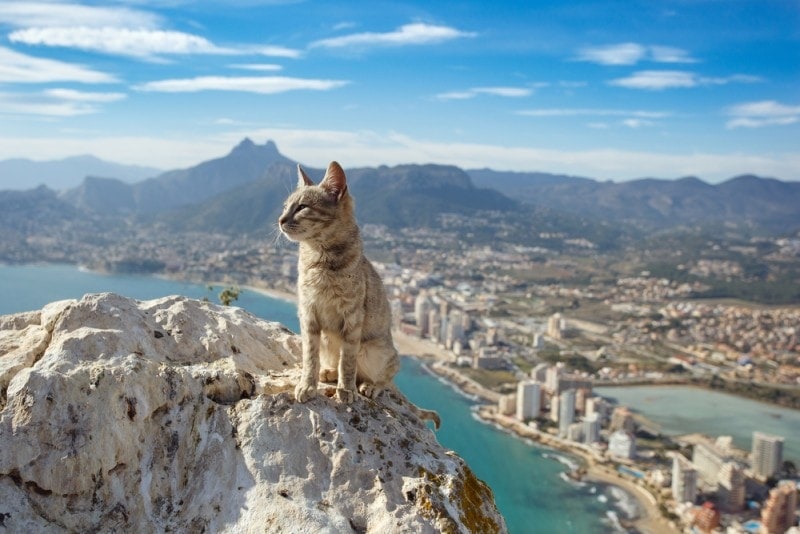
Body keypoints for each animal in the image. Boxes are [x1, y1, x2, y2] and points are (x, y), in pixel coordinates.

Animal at [278, 163, 440, 432]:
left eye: (302, 207)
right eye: (285, 206)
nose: (280, 220)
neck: (318, 258)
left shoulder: (352, 318)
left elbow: (348, 360)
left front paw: (345, 389)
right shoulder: (309, 314)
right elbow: (310, 357)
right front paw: (307, 385)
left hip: (376, 349)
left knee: (385, 374)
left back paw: (369, 385)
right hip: (328, 339)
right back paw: (329, 372)